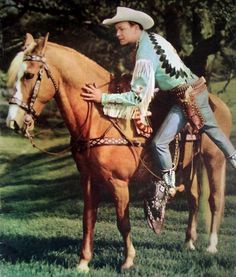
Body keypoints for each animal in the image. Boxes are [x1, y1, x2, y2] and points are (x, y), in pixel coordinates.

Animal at [6, 33, 232, 270]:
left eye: (29, 75)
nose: (13, 121)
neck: (101, 118)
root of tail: (218, 104)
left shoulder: (119, 183)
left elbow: (123, 221)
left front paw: (128, 260)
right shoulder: (88, 179)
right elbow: (88, 219)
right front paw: (83, 262)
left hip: (215, 160)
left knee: (215, 200)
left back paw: (212, 246)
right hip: (190, 166)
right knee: (194, 199)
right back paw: (189, 242)